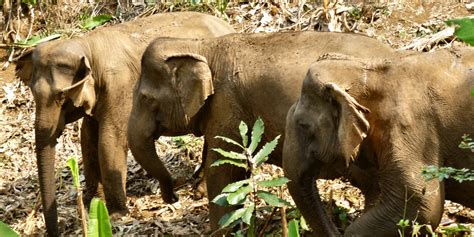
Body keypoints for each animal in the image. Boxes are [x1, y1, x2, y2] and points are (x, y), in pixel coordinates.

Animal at [14, 12, 235, 236]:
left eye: (61, 96)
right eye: (32, 92)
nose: (174, 197)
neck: (87, 46)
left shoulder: (120, 86)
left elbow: (110, 140)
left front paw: (116, 215)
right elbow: (88, 138)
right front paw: (93, 202)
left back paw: (199, 191)